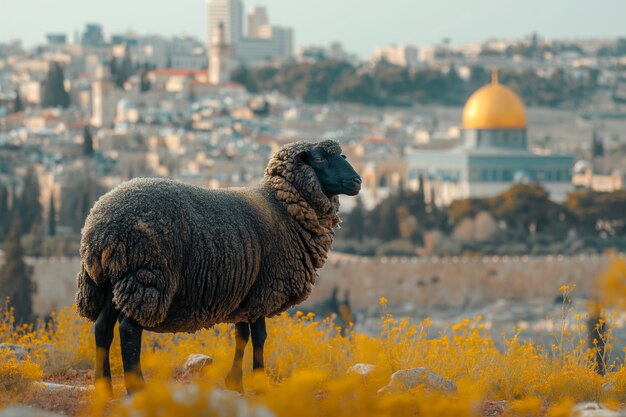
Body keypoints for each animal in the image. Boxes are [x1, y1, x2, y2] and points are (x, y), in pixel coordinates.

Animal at [74, 140, 360, 394]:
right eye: (319, 158)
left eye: (343, 155)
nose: (357, 181)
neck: (281, 206)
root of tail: (97, 228)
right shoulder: (264, 290)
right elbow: (259, 337)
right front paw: (259, 383)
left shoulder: (245, 293)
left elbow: (241, 335)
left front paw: (235, 382)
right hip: (147, 277)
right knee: (129, 330)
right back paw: (136, 389)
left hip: (113, 280)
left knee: (102, 328)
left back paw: (104, 388)